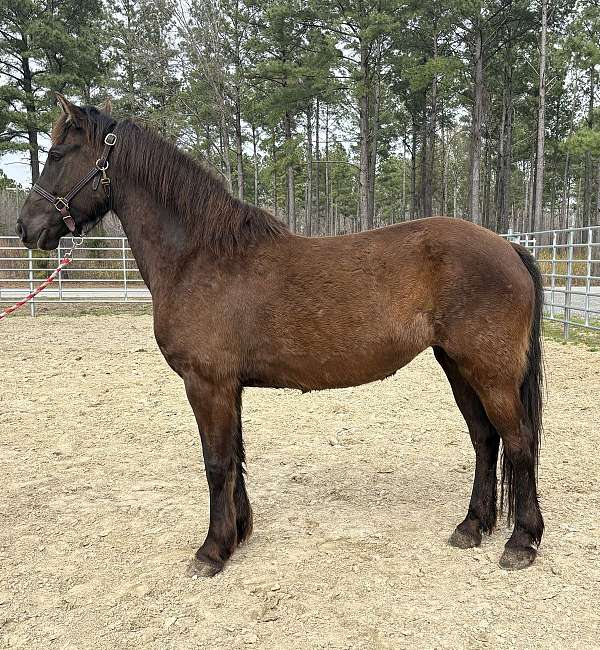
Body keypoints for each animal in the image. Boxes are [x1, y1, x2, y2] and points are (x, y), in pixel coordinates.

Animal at [16, 95, 544, 576]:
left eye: (57, 153)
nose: (26, 227)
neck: (201, 256)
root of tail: (509, 247)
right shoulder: (227, 387)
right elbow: (235, 457)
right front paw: (237, 533)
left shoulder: (206, 384)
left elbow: (215, 462)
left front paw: (211, 551)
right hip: (458, 366)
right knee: (485, 440)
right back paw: (472, 526)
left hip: (489, 372)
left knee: (517, 442)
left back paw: (521, 541)